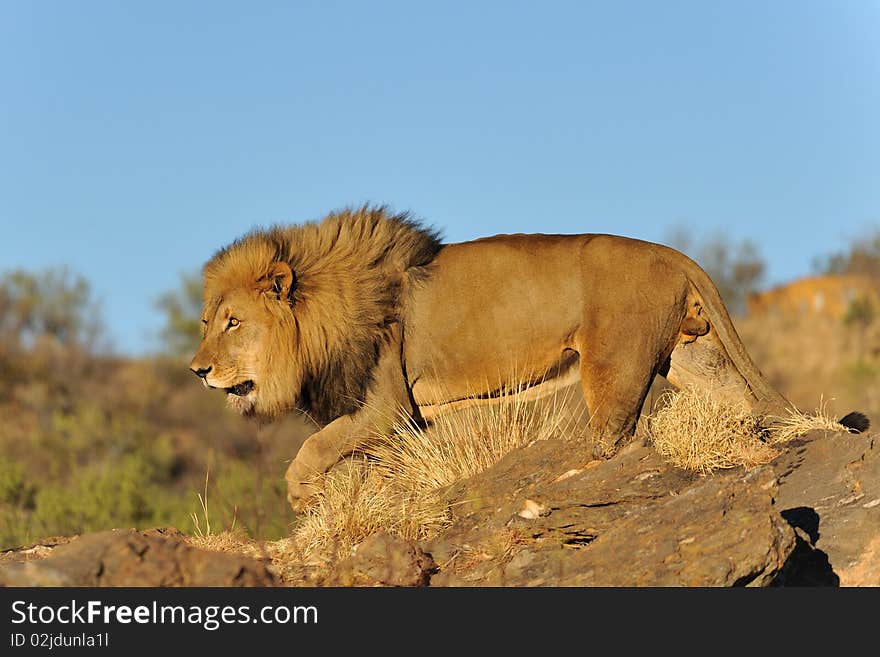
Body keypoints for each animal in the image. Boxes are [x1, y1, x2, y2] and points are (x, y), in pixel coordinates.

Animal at [189, 204, 868, 508]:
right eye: (204, 323)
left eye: (233, 323)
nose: (198, 370)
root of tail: (670, 251)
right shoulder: (398, 419)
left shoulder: (385, 406)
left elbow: (313, 448)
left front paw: (302, 498)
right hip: (692, 357)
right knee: (738, 400)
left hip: (612, 367)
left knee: (616, 437)